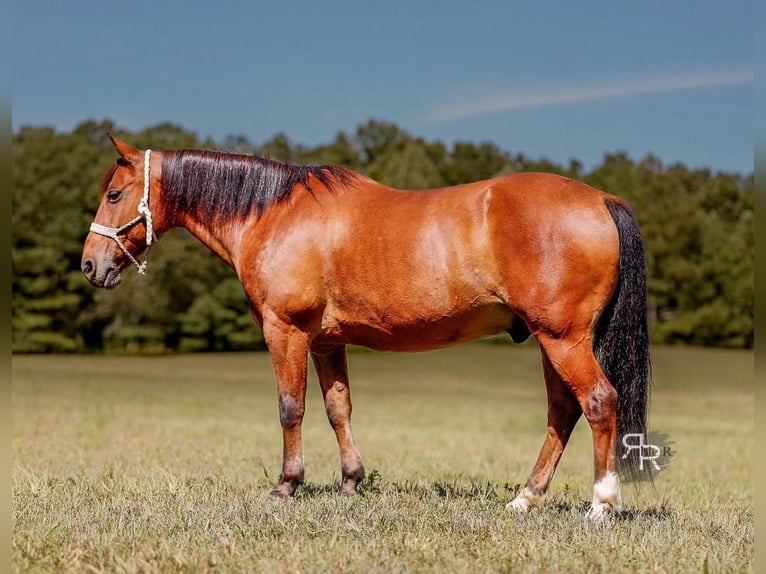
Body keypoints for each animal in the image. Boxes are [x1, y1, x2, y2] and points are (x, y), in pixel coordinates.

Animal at [81, 135, 650, 519]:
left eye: (114, 194)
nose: (90, 265)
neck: (273, 215)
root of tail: (602, 201)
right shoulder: (326, 343)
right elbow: (338, 409)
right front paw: (350, 483)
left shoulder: (285, 331)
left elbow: (291, 408)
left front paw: (286, 485)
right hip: (550, 341)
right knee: (563, 412)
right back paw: (525, 499)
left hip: (563, 339)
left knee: (598, 401)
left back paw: (601, 504)